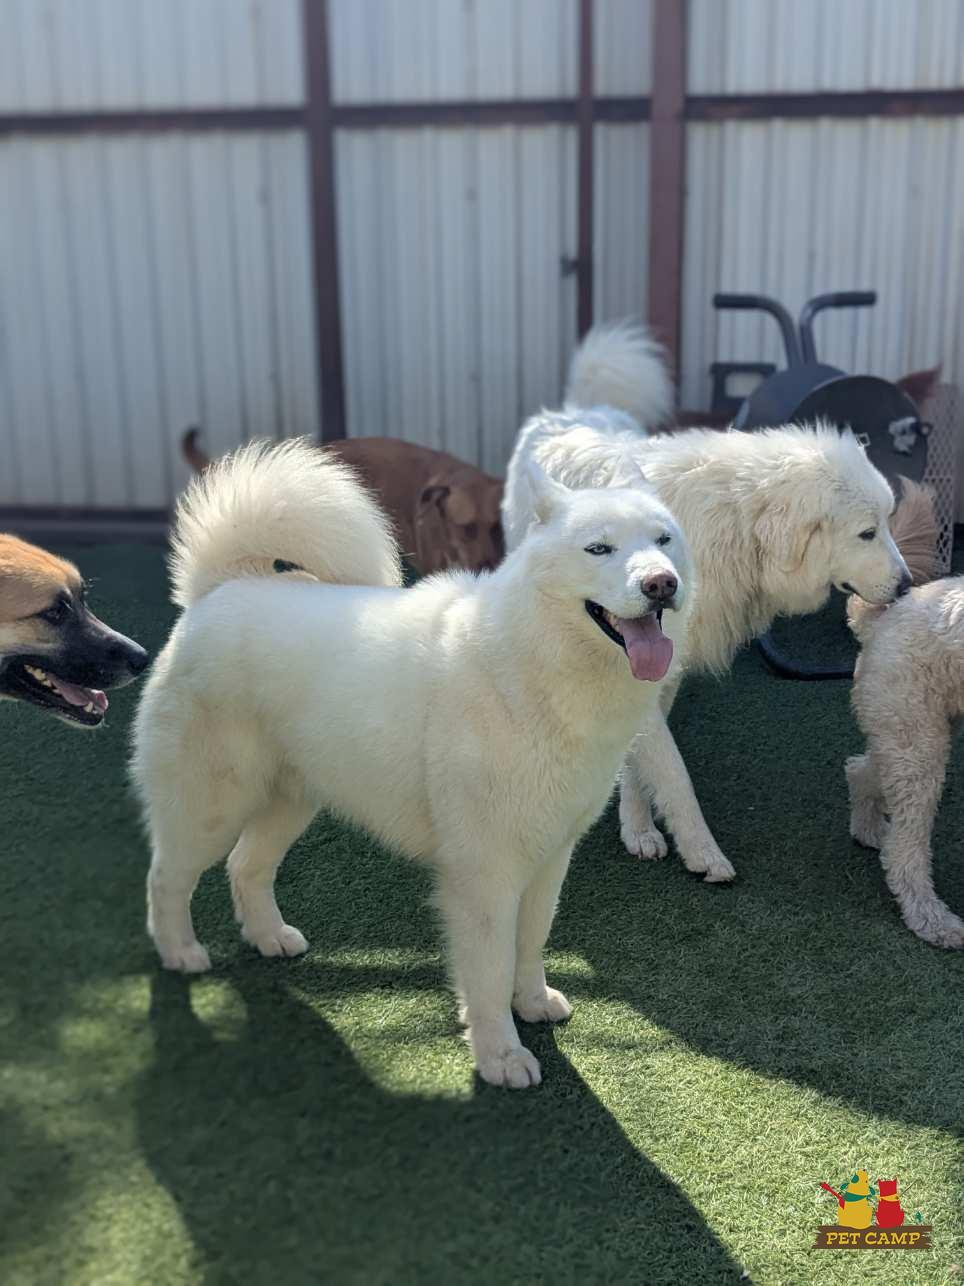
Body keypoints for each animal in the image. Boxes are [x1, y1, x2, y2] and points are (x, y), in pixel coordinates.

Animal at [502, 323, 911, 882]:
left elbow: (643, 760)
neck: (738, 522)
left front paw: (639, 827)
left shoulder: (663, 666)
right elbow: (674, 775)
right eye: (868, 533)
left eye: (888, 524)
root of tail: (572, 411)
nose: (908, 585)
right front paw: (702, 852)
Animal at [846, 482, 964, 949]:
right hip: (919, 741)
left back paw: (868, 828)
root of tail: (881, 618)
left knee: (860, 768)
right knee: (905, 850)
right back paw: (933, 921)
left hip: (903, 732)